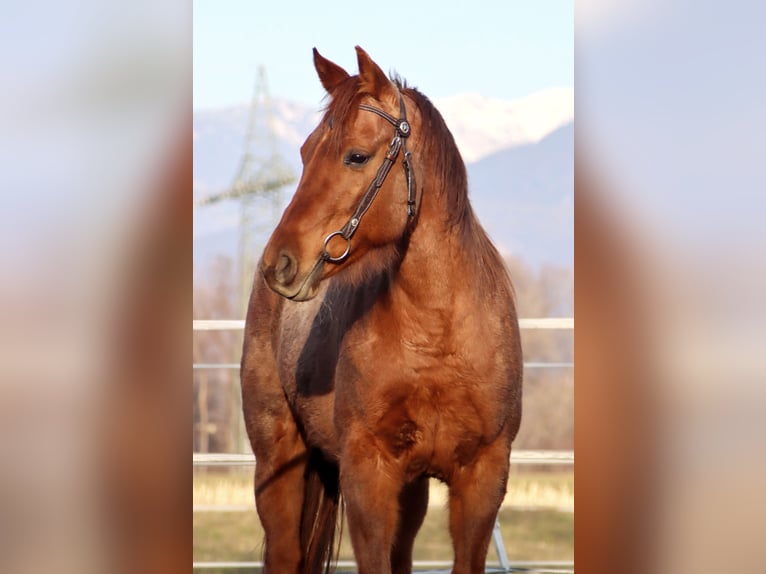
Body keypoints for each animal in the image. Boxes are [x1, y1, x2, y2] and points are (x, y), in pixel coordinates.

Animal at [243, 46, 524, 574]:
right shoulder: (368, 477)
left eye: (356, 156)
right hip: (278, 463)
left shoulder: (483, 478)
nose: (279, 263)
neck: (438, 333)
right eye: (304, 153)